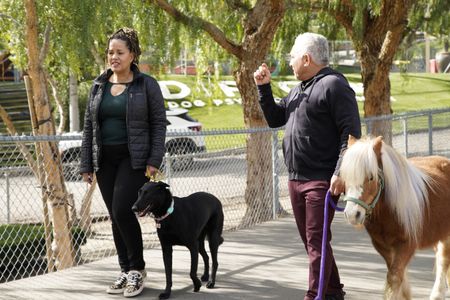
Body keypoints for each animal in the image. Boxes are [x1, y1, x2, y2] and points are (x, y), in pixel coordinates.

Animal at [340, 137, 450, 300]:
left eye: (371, 177)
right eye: (345, 177)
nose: (353, 214)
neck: (389, 212)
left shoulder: (406, 245)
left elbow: (394, 277)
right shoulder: (383, 247)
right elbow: (398, 278)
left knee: (443, 260)